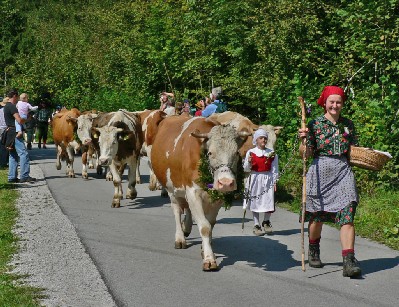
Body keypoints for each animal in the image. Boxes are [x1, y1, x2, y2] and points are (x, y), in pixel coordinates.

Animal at [152, 116, 252, 272]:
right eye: (210, 153)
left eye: (236, 153)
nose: (226, 182)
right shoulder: (192, 191)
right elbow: (204, 227)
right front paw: (209, 259)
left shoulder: (216, 199)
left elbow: (210, 224)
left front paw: (205, 249)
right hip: (171, 189)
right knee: (177, 211)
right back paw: (180, 238)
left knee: (187, 209)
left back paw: (186, 227)